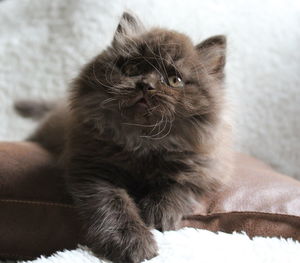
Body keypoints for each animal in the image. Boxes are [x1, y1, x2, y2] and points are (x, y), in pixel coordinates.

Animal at [15, 11, 232, 263]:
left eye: (175, 80)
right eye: (131, 68)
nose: (145, 84)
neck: (144, 140)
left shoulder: (203, 167)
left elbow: (178, 186)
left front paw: (158, 212)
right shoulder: (93, 168)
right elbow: (114, 205)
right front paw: (132, 242)